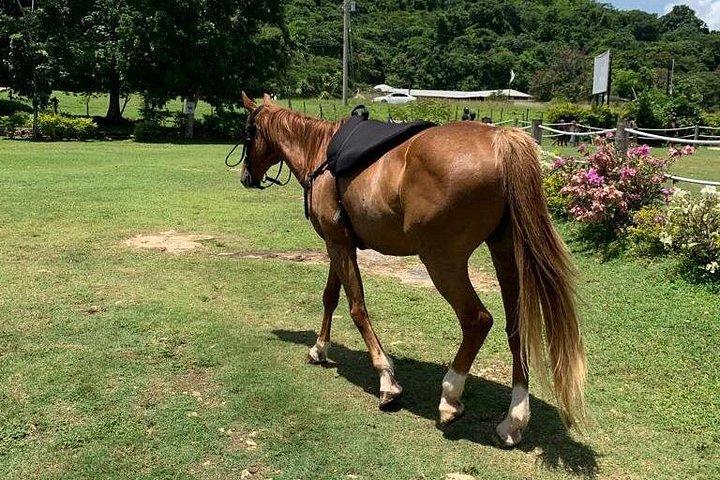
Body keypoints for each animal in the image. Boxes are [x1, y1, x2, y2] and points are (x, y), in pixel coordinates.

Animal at [237, 93, 587, 447]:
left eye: (248, 133)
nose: (245, 177)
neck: (322, 153)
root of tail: (500, 140)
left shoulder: (338, 245)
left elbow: (357, 308)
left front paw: (386, 379)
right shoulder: (339, 244)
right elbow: (330, 298)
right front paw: (319, 349)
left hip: (442, 262)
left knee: (477, 320)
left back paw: (450, 396)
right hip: (504, 256)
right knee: (516, 326)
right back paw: (514, 418)